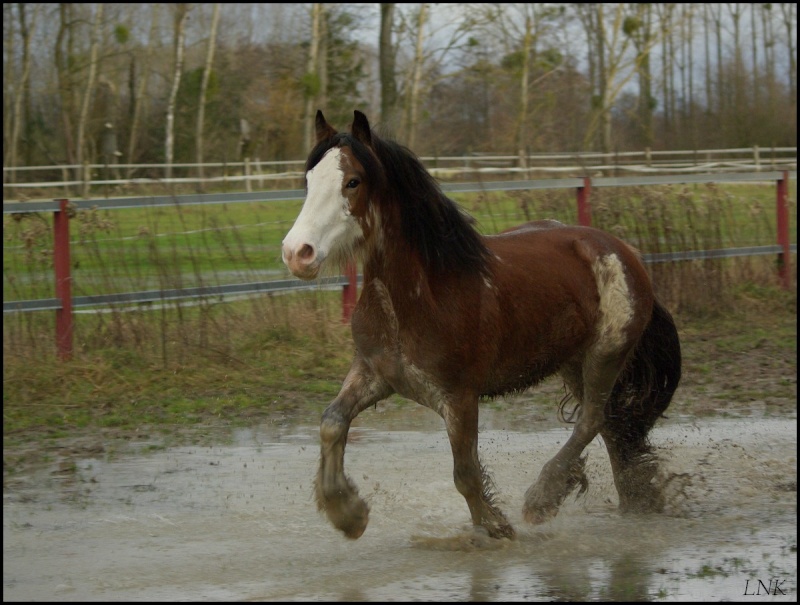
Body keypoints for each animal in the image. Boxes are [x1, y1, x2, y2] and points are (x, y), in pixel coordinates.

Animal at [282, 111, 680, 540]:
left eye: (353, 181)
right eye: (309, 180)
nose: (296, 253)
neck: (421, 296)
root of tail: (625, 252)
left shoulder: (459, 398)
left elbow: (466, 474)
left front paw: (494, 527)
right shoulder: (374, 373)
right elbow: (332, 422)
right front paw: (348, 512)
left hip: (605, 356)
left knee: (592, 421)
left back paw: (543, 498)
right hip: (574, 362)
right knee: (611, 428)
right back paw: (632, 499)